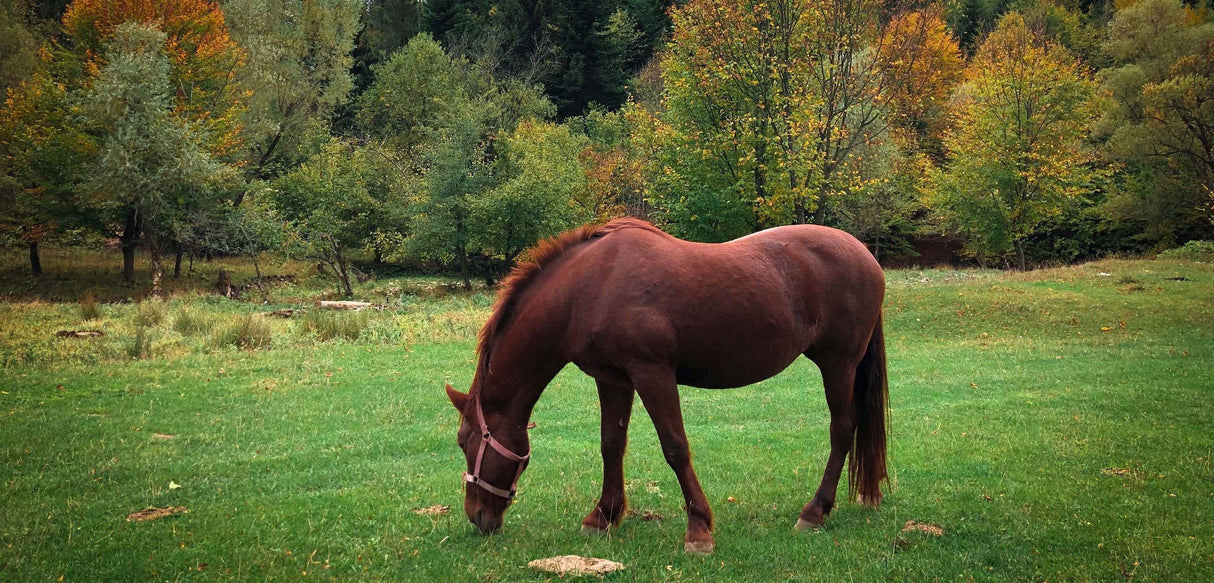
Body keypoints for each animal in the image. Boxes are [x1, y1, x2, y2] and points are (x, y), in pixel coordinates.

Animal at [441, 217, 888, 551]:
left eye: (466, 442)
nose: (478, 517)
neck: (589, 286)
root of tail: (866, 255)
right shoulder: (613, 379)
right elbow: (611, 445)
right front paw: (602, 516)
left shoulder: (652, 373)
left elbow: (675, 448)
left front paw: (698, 529)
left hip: (838, 365)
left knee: (841, 430)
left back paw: (815, 511)